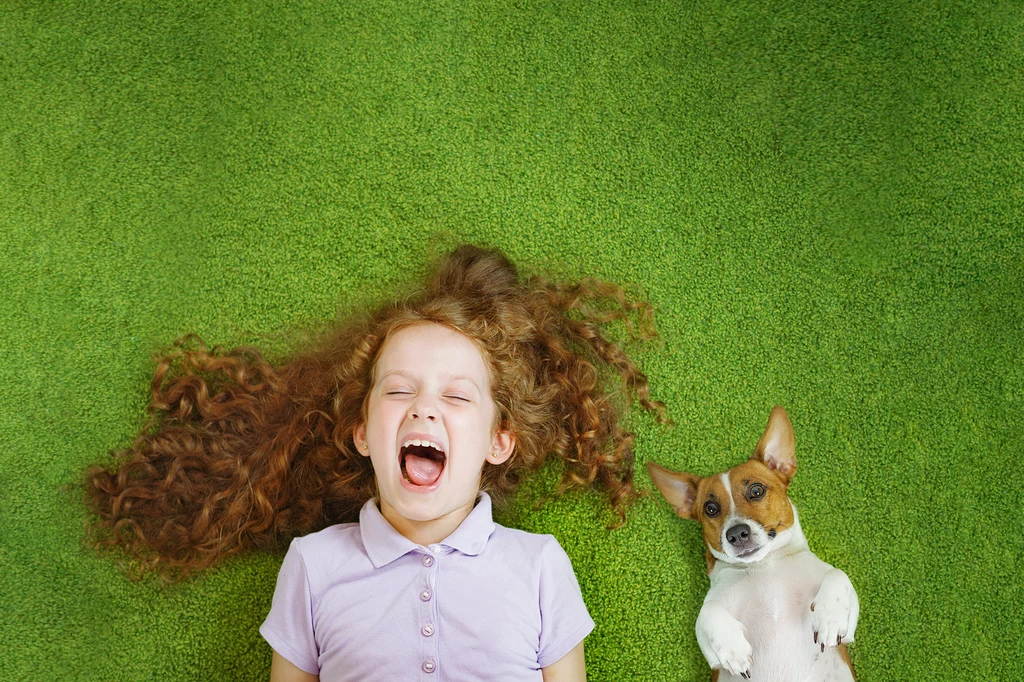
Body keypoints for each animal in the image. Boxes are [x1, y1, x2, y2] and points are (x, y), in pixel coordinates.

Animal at [647, 405, 856, 675]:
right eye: (711, 508)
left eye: (756, 491)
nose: (736, 533)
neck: (765, 565)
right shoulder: (711, 655)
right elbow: (708, 610)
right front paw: (733, 649)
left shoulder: (849, 630)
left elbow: (838, 573)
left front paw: (830, 618)